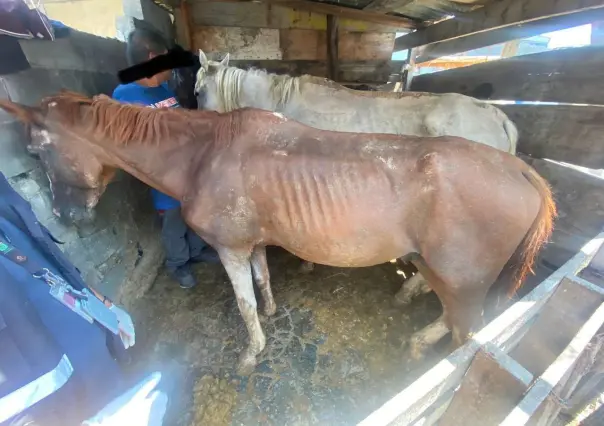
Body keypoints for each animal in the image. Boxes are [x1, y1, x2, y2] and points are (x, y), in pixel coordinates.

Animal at [0, 92, 556, 372]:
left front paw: (252, 353)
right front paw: (271, 313)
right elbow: (263, 280)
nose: (67, 216)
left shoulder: (228, 247)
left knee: (466, 332)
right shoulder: (253, 242)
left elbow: (243, 303)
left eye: (36, 149)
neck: (204, 154)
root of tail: (519, 170)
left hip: (464, 280)